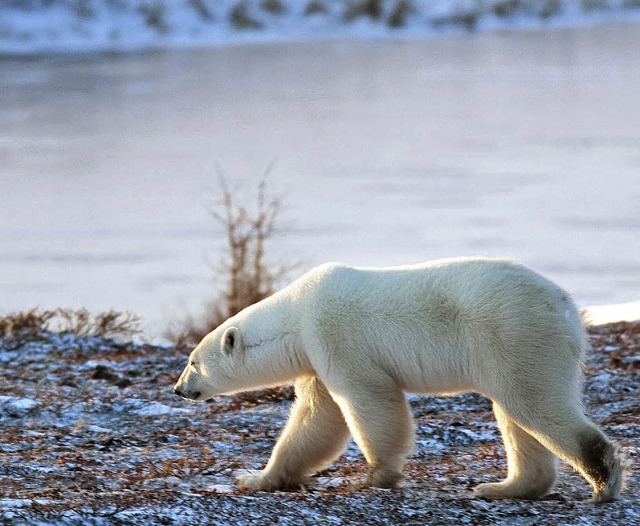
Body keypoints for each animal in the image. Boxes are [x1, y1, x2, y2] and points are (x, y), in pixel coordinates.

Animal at [174, 258, 624, 504]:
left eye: (193, 361)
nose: (178, 389)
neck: (295, 314)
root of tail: (566, 306)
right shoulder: (314, 358)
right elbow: (315, 420)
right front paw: (255, 477)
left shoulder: (334, 337)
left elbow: (368, 402)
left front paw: (373, 476)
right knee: (516, 414)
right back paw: (502, 487)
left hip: (513, 333)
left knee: (534, 403)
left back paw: (603, 481)